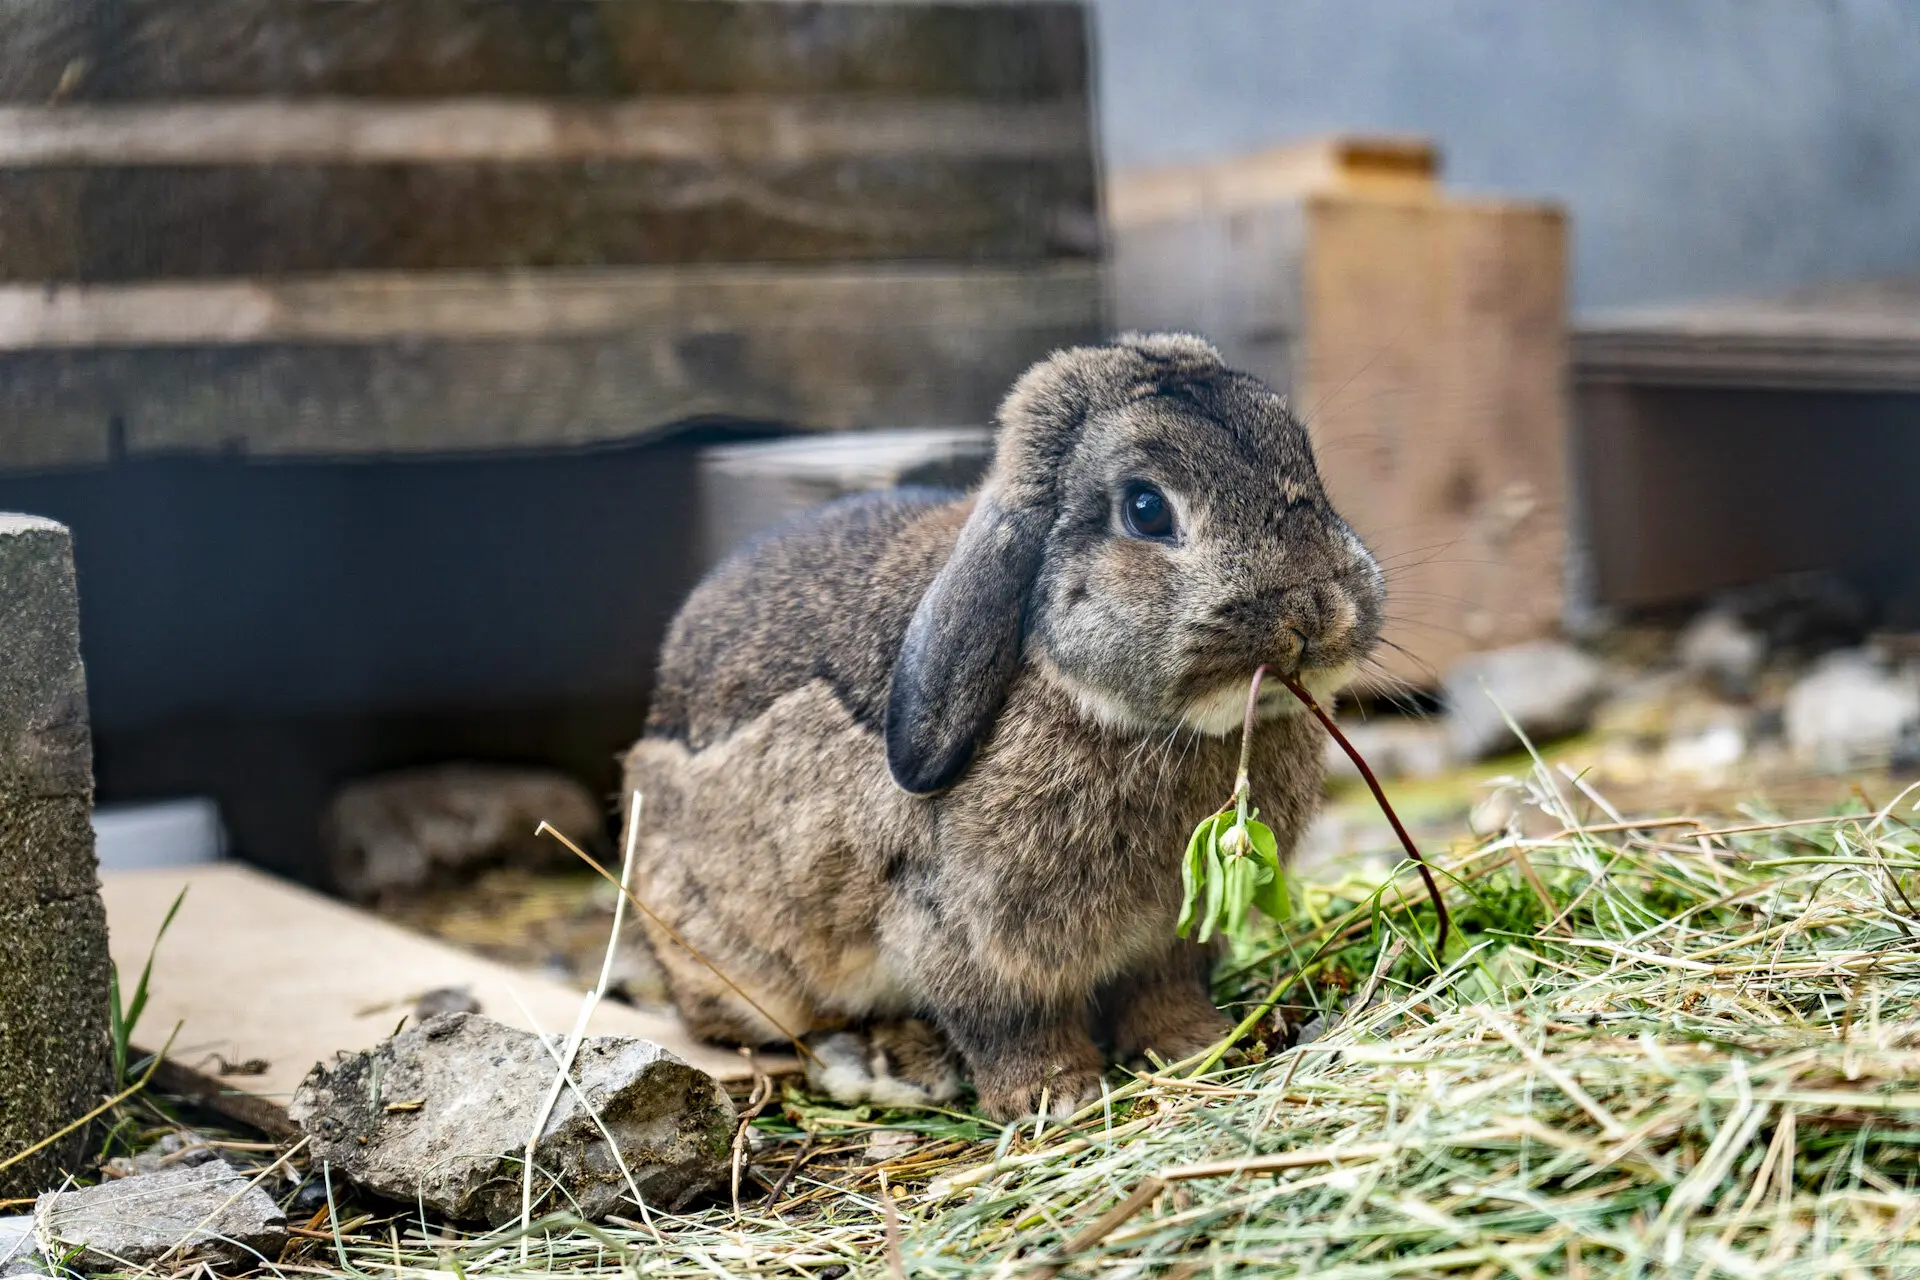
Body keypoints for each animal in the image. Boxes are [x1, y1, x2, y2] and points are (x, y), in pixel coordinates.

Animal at [619, 333, 1385, 1121]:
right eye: (1146, 509)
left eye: (1307, 466)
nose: (1318, 615)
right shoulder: (966, 934)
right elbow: (1007, 1023)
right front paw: (1056, 1094)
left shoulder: (1169, 942)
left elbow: (1163, 994)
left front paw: (1199, 1046)